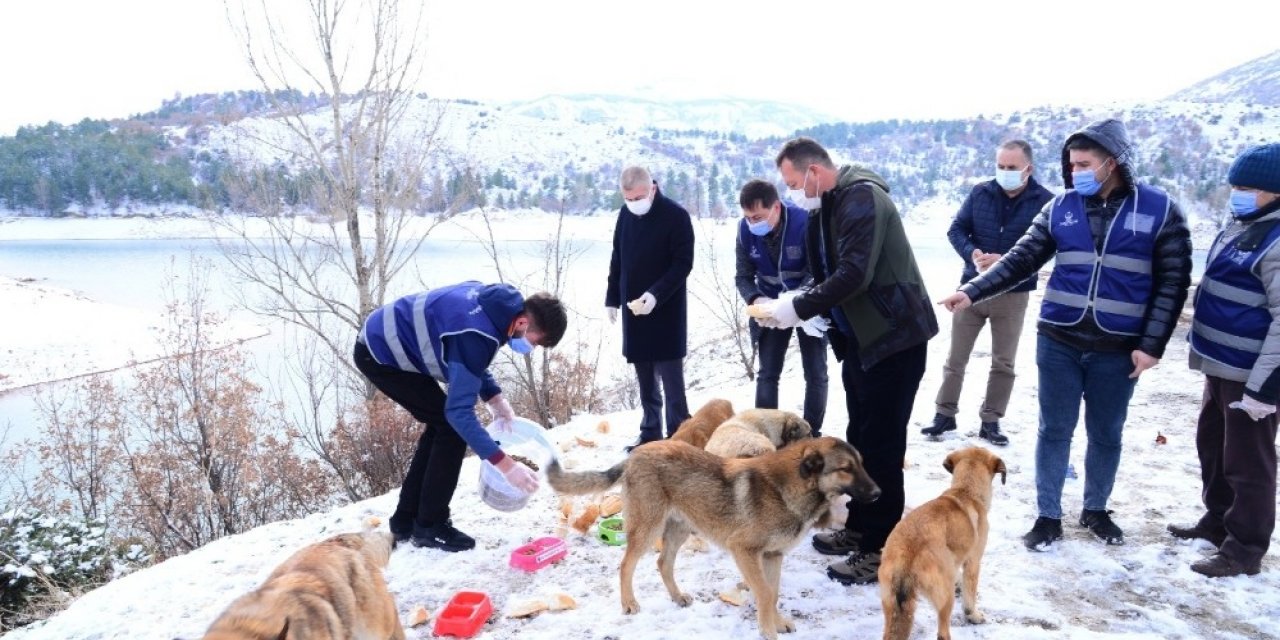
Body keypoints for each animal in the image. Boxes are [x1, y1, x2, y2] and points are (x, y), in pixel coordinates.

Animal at [545, 437, 885, 637]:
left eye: (862, 464)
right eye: (845, 468)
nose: (879, 493)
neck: (791, 488)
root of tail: (635, 454)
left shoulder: (772, 556)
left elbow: (773, 593)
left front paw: (776, 621)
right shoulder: (745, 551)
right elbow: (764, 594)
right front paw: (768, 630)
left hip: (680, 528)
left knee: (663, 562)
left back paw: (677, 597)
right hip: (648, 528)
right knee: (626, 564)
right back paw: (629, 603)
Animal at [880, 448, 1008, 637]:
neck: (966, 491)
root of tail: (906, 558)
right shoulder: (973, 561)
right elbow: (969, 596)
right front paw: (973, 616)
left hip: (891, 603)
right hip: (945, 598)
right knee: (943, 632)